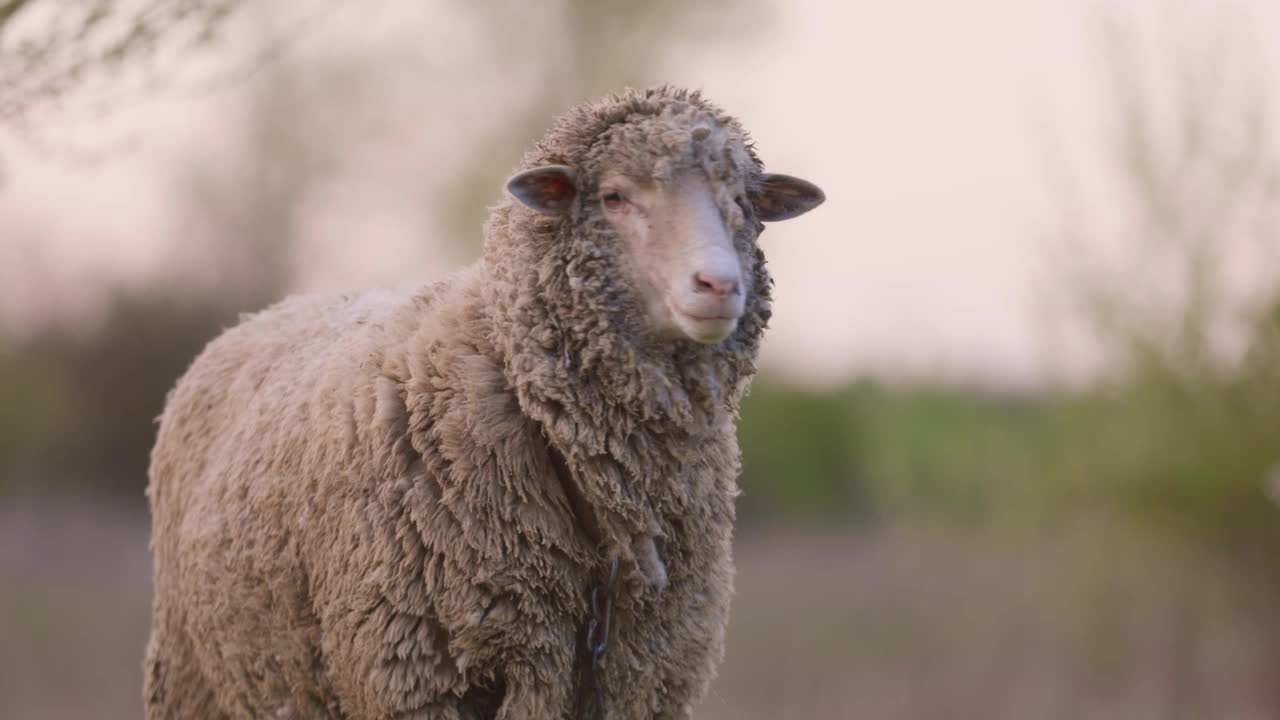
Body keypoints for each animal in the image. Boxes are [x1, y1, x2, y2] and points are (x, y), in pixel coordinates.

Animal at [145, 85, 824, 717]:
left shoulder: (642, 680)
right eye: (613, 197)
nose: (719, 285)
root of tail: (261, 314)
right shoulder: (416, 675)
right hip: (192, 676)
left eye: (743, 204)